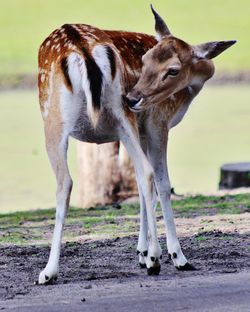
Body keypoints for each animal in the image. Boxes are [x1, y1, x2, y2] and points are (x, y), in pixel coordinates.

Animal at [36, 4, 234, 284]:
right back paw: (153, 260)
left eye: (173, 70)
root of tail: (82, 50)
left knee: (69, 182)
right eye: (145, 60)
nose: (134, 97)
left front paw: (152, 253)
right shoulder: (152, 124)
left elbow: (153, 185)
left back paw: (50, 272)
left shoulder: (149, 125)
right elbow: (154, 185)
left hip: (64, 118)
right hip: (113, 116)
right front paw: (158, 254)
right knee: (141, 174)